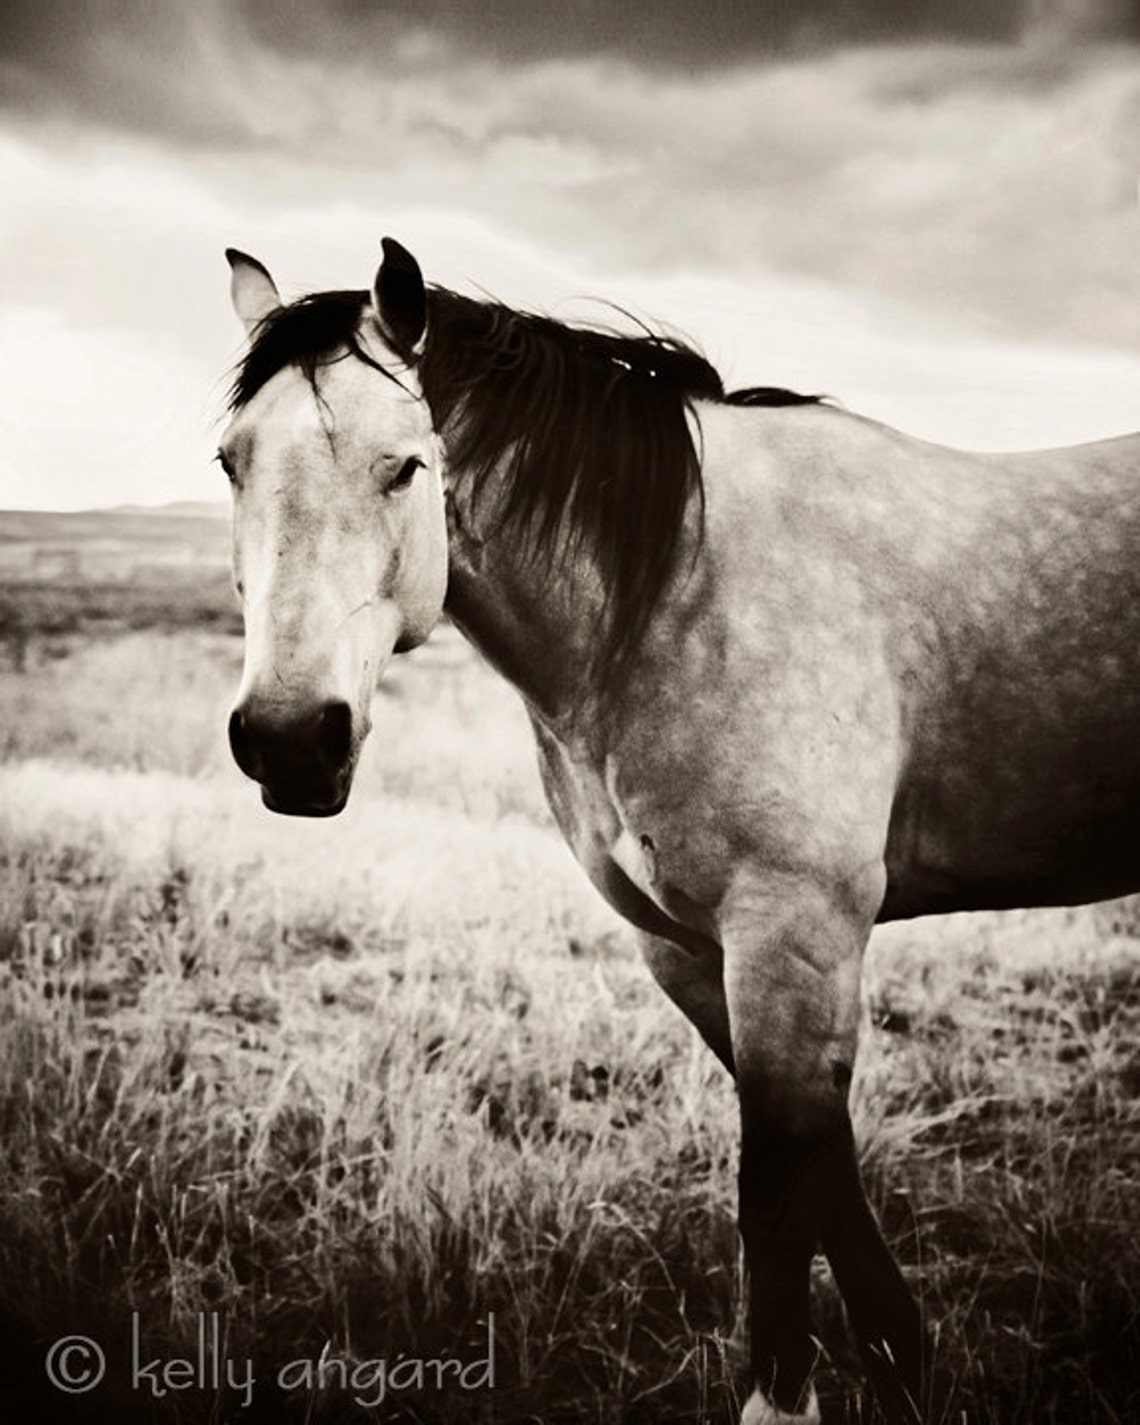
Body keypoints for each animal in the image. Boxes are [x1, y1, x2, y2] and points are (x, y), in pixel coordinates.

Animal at [218, 238, 1140, 1424]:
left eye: (406, 468)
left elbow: (778, 1191)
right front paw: (903, 1356)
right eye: (230, 462)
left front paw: (787, 1399)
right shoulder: (694, 951)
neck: (675, 599)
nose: (290, 739)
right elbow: (820, 1162)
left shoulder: (792, 937)